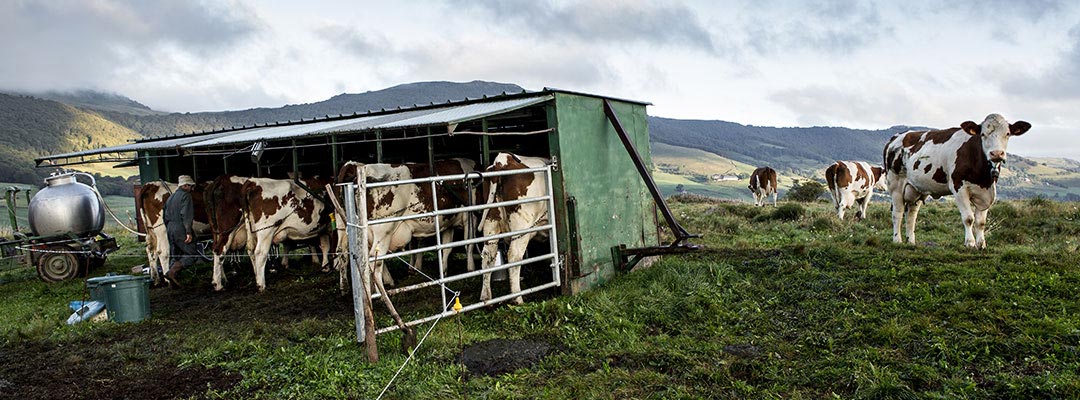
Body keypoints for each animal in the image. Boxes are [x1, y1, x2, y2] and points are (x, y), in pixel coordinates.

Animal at [479, 152, 548, 302]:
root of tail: (503, 160)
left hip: (491, 221)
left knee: (488, 255)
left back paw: (486, 297)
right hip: (522, 226)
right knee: (514, 256)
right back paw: (517, 298)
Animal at [881, 112, 1032, 248]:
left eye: (1007, 134)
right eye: (983, 134)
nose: (996, 154)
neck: (982, 176)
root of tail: (896, 137)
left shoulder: (986, 192)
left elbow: (981, 222)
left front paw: (981, 244)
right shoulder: (959, 187)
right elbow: (968, 218)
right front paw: (970, 243)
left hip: (917, 188)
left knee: (911, 214)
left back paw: (911, 241)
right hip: (895, 185)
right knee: (897, 213)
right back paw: (897, 240)